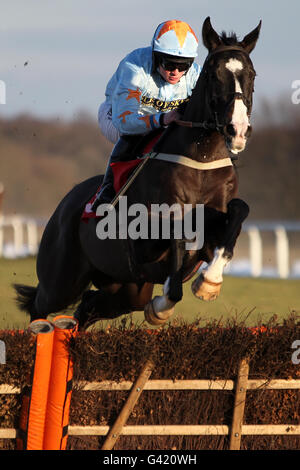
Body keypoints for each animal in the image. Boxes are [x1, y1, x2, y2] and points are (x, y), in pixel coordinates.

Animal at [14, 18, 260, 330]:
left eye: (251, 74)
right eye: (213, 74)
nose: (237, 130)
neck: (200, 162)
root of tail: (64, 203)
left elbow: (237, 212)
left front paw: (208, 282)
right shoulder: (143, 240)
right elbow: (179, 229)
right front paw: (163, 305)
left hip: (126, 287)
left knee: (88, 307)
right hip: (61, 279)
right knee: (40, 305)